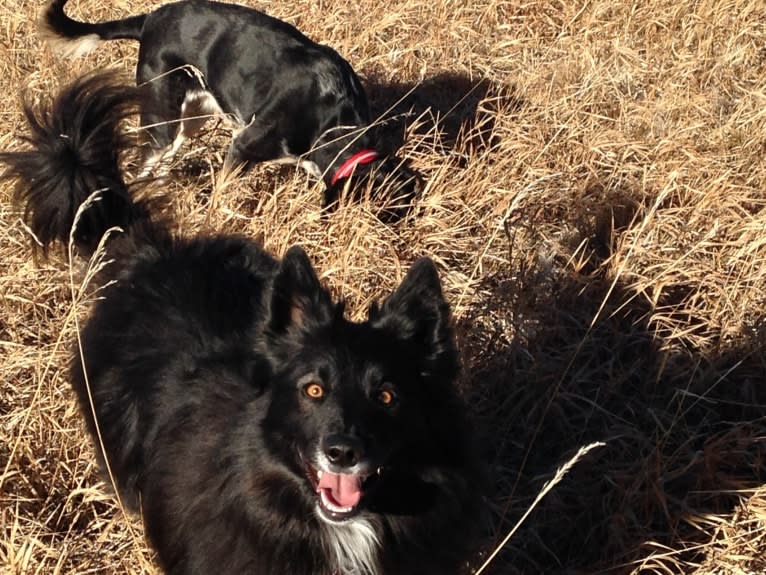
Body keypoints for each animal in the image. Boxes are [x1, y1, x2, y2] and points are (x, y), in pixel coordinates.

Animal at [41, 0, 424, 218]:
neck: (333, 119)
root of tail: (150, 19)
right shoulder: (242, 145)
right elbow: (223, 192)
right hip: (162, 117)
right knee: (144, 163)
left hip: (192, 117)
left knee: (163, 163)